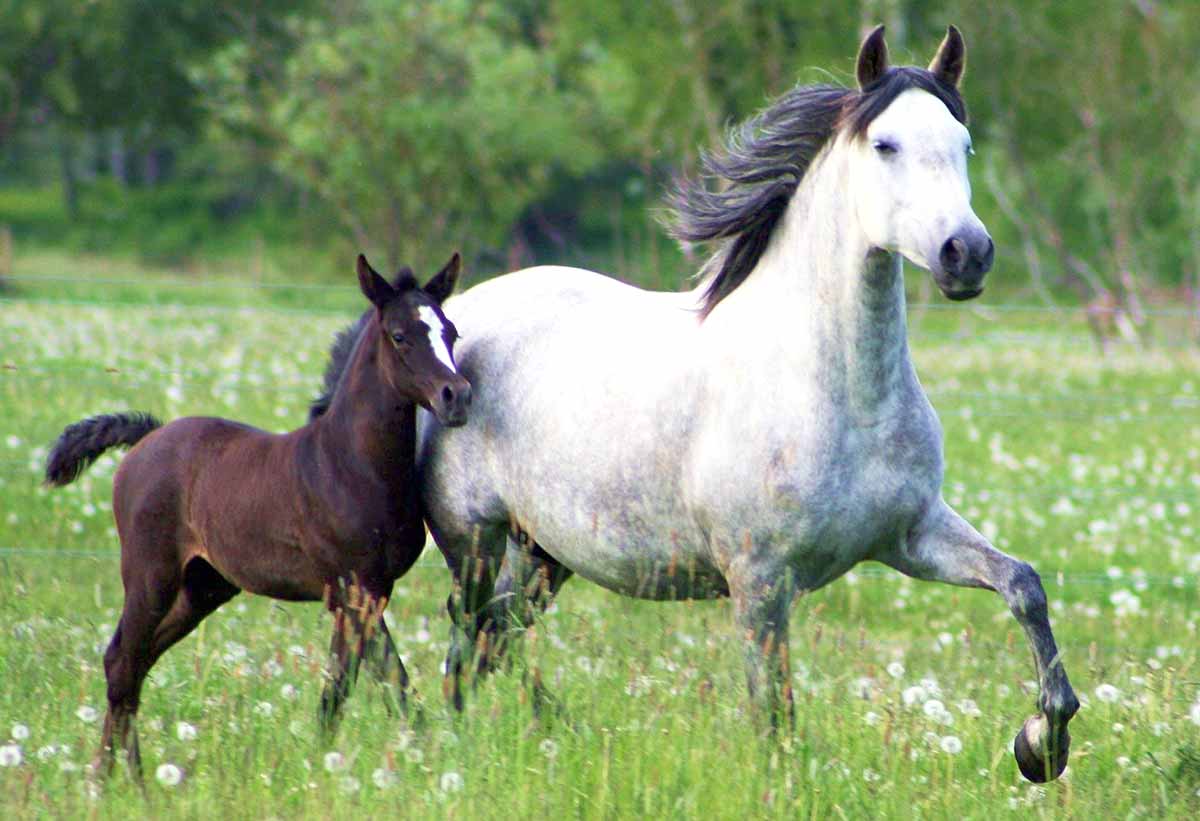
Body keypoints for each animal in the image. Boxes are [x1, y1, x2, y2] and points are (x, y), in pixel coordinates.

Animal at [41, 252, 468, 782]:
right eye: (400, 335)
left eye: (451, 332)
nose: (457, 395)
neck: (349, 465)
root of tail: (147, 438)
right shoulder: (353, 588)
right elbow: (367, 684)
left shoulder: (373, 590)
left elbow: (365, 684)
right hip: (150, 575)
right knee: (121, 660)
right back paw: (110, 781)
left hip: (203, 586)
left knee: (136, 663)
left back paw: (129, 778)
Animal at [309, 24, 1080, 782]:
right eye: (885, 145)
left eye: (963, 144)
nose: (966, 254)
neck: (840, 394)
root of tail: (449, 318)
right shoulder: (761, 583)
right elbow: (775, 714)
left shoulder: (911, 534)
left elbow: (1023, 585)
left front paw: (1042, 742)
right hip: (473, 538)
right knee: (458, 633)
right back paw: (449, 743)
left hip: (541, 553)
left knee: (490, 635)